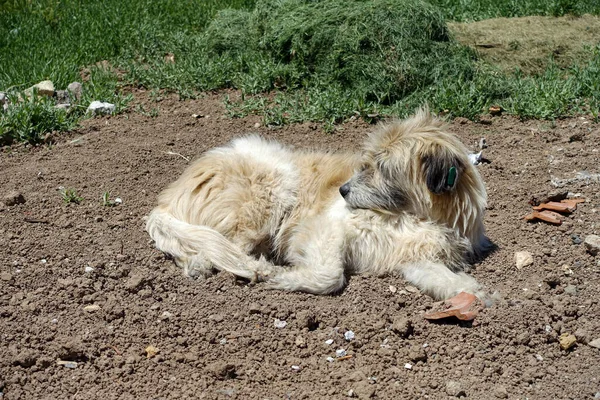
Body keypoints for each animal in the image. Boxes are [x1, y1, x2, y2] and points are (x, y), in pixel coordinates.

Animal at [146, 109, 492, 300]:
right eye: (367, 163)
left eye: (381, 168)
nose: (342, 190)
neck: (412, 216)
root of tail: (168, 197)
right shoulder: (326, 228)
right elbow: (330, 276)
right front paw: (280, 276)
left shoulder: (415, 257)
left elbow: (448, 279)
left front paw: (475, 292)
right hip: (273, 186)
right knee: (226, 245)